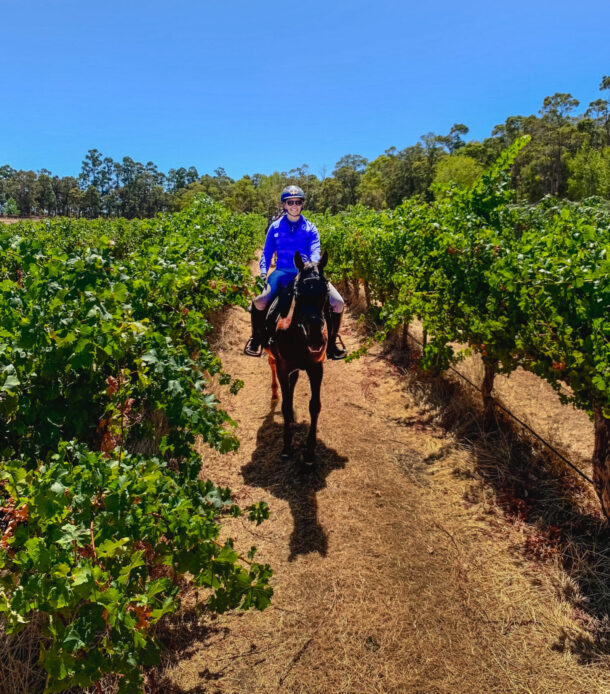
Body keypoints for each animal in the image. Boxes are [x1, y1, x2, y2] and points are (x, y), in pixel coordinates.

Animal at [263, 250, 330, 463]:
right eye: (298, 294)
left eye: (325, 293)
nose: (316, 338)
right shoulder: (283, 366)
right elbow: (284, 406)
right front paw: (286, 447)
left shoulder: (317, 368)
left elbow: (315, 406)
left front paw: (309, 452)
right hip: (274, 359)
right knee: (272, 368)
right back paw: (275, 393)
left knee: (292, 382)